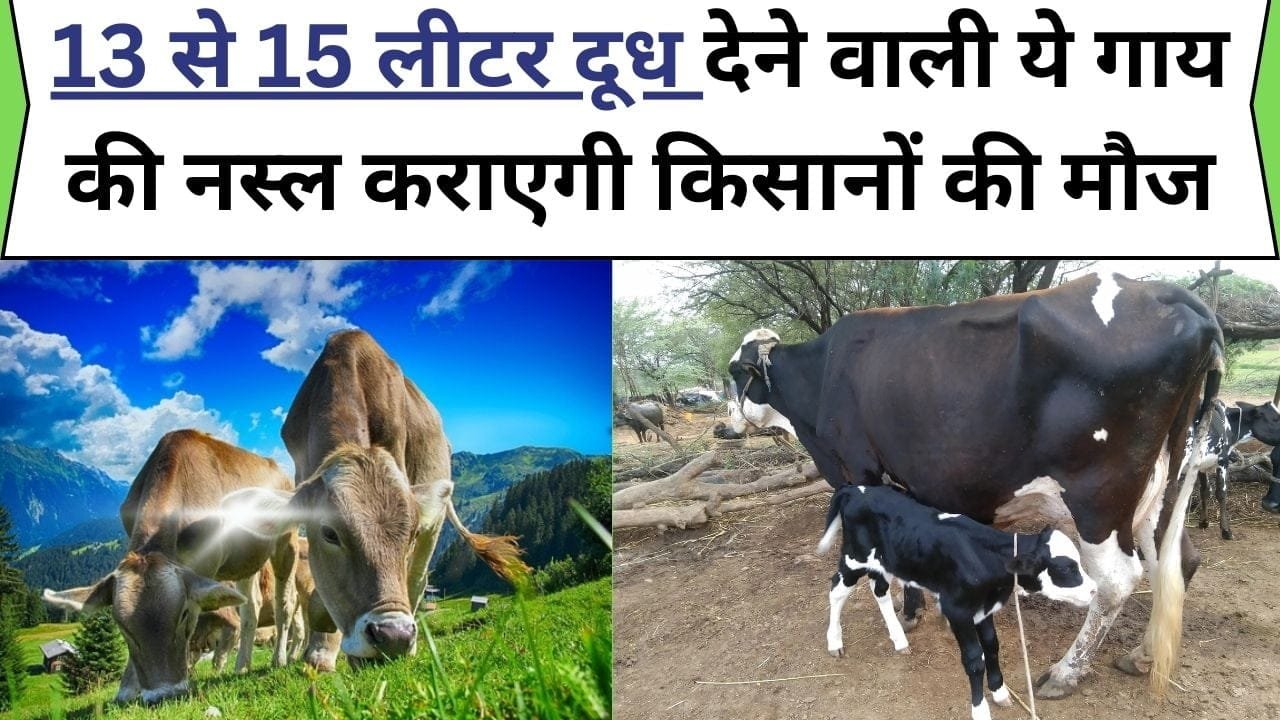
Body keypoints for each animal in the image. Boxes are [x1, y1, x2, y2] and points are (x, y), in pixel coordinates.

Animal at [42, 430, 298, 704]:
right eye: (122, 626)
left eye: (183, 614)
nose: (163, 695)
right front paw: (127, 689)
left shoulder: (206, 563)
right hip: (246, 560)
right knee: (251, 607)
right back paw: (242, 666)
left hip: (287, 541)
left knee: (285, 603)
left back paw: (279, 659)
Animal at [819, 485, 1096, 720]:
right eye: (1066, 568)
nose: (1094, 590)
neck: (984, 557)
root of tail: (854, 489)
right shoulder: (958, 611)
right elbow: (974, 660)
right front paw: (980, 710)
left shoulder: (984, 609)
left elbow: (992, 646)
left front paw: (999, 692)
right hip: (854, 557)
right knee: (837, 589)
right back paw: (835, 642)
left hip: (885, 561)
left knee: (879, 590)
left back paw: (899, 639)